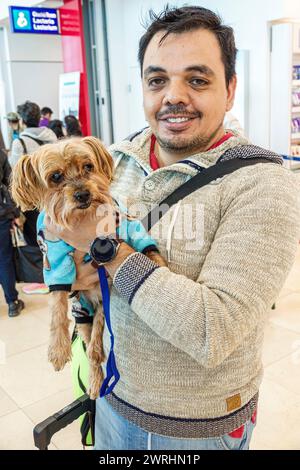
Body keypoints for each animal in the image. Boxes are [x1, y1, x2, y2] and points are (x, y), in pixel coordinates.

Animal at [11, 137, 166, 400]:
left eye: (88, 166)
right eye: (55, 176)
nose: (83, 194)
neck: (83, 218)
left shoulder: (125, 231)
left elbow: (148, 249)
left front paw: (159, 263)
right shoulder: (55, 258)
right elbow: (57, 308)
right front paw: (58, 349)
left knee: (97, 339)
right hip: (81, 311)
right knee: (89, 339)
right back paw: (94, 380)